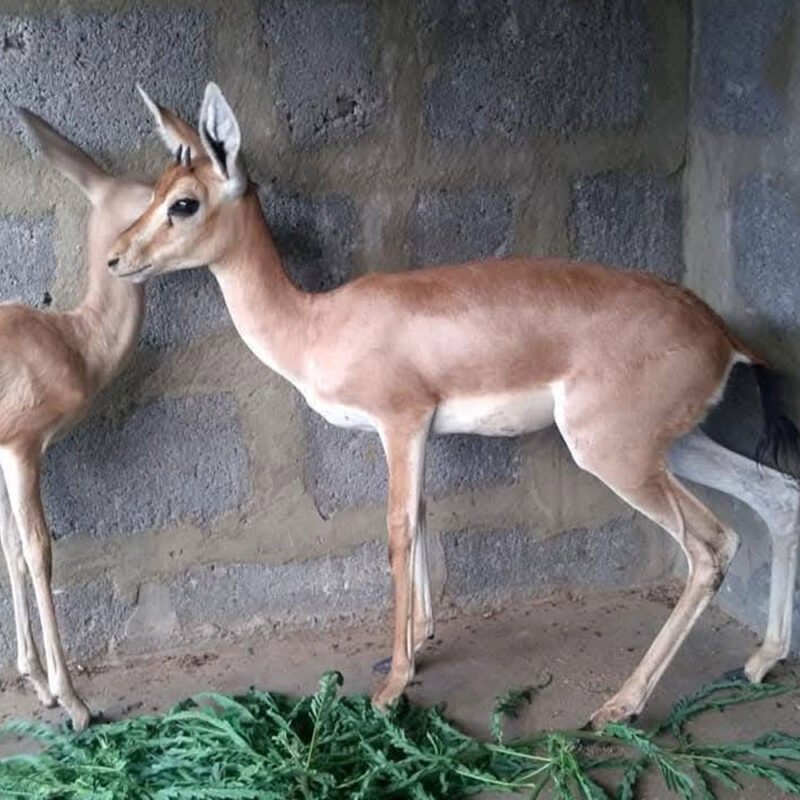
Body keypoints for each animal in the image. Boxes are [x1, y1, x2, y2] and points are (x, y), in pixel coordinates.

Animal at [107, 82, 800, 727]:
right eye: (156, 188)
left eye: (185, 202)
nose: (116, 259)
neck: (316, 323)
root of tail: (719, 331)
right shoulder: (415, 435)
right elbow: (419, 517)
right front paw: (416, 644)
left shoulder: (402, 422)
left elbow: (398, 531)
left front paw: (393, 685)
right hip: (679, 446)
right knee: (776, 496)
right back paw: (762, 659)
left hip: (616, 456)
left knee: (711, 546)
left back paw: (621, 704)